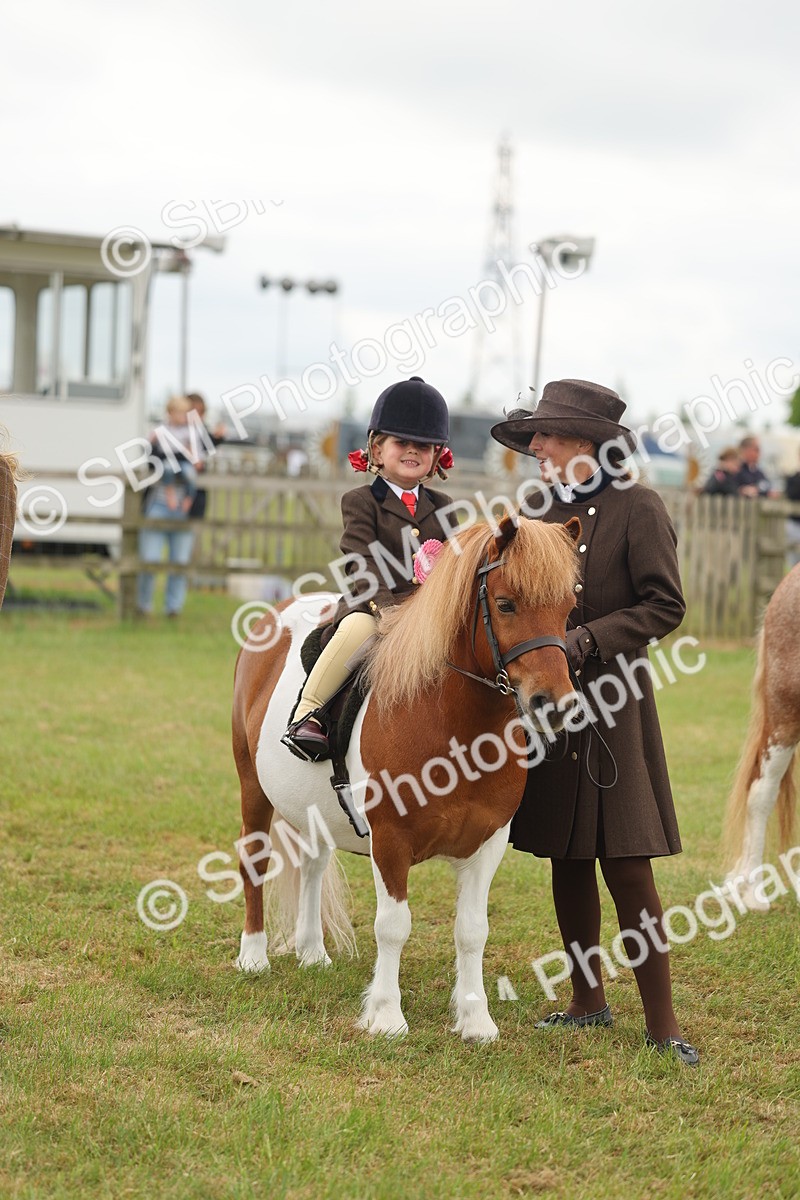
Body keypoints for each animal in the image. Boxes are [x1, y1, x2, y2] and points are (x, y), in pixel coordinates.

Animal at [231, 512, 581, 1041]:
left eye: (568, 608)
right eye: (506, 604)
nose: (554, 705)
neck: (452, 722)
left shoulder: (489, 841)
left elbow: (472, 930)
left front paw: (476, 1020)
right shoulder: (391, 840)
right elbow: (393, 926)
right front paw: (386, 1016)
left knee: (312, 865)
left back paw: (312, 951)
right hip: (252, 786)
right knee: (254, 860)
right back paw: (253, 955)